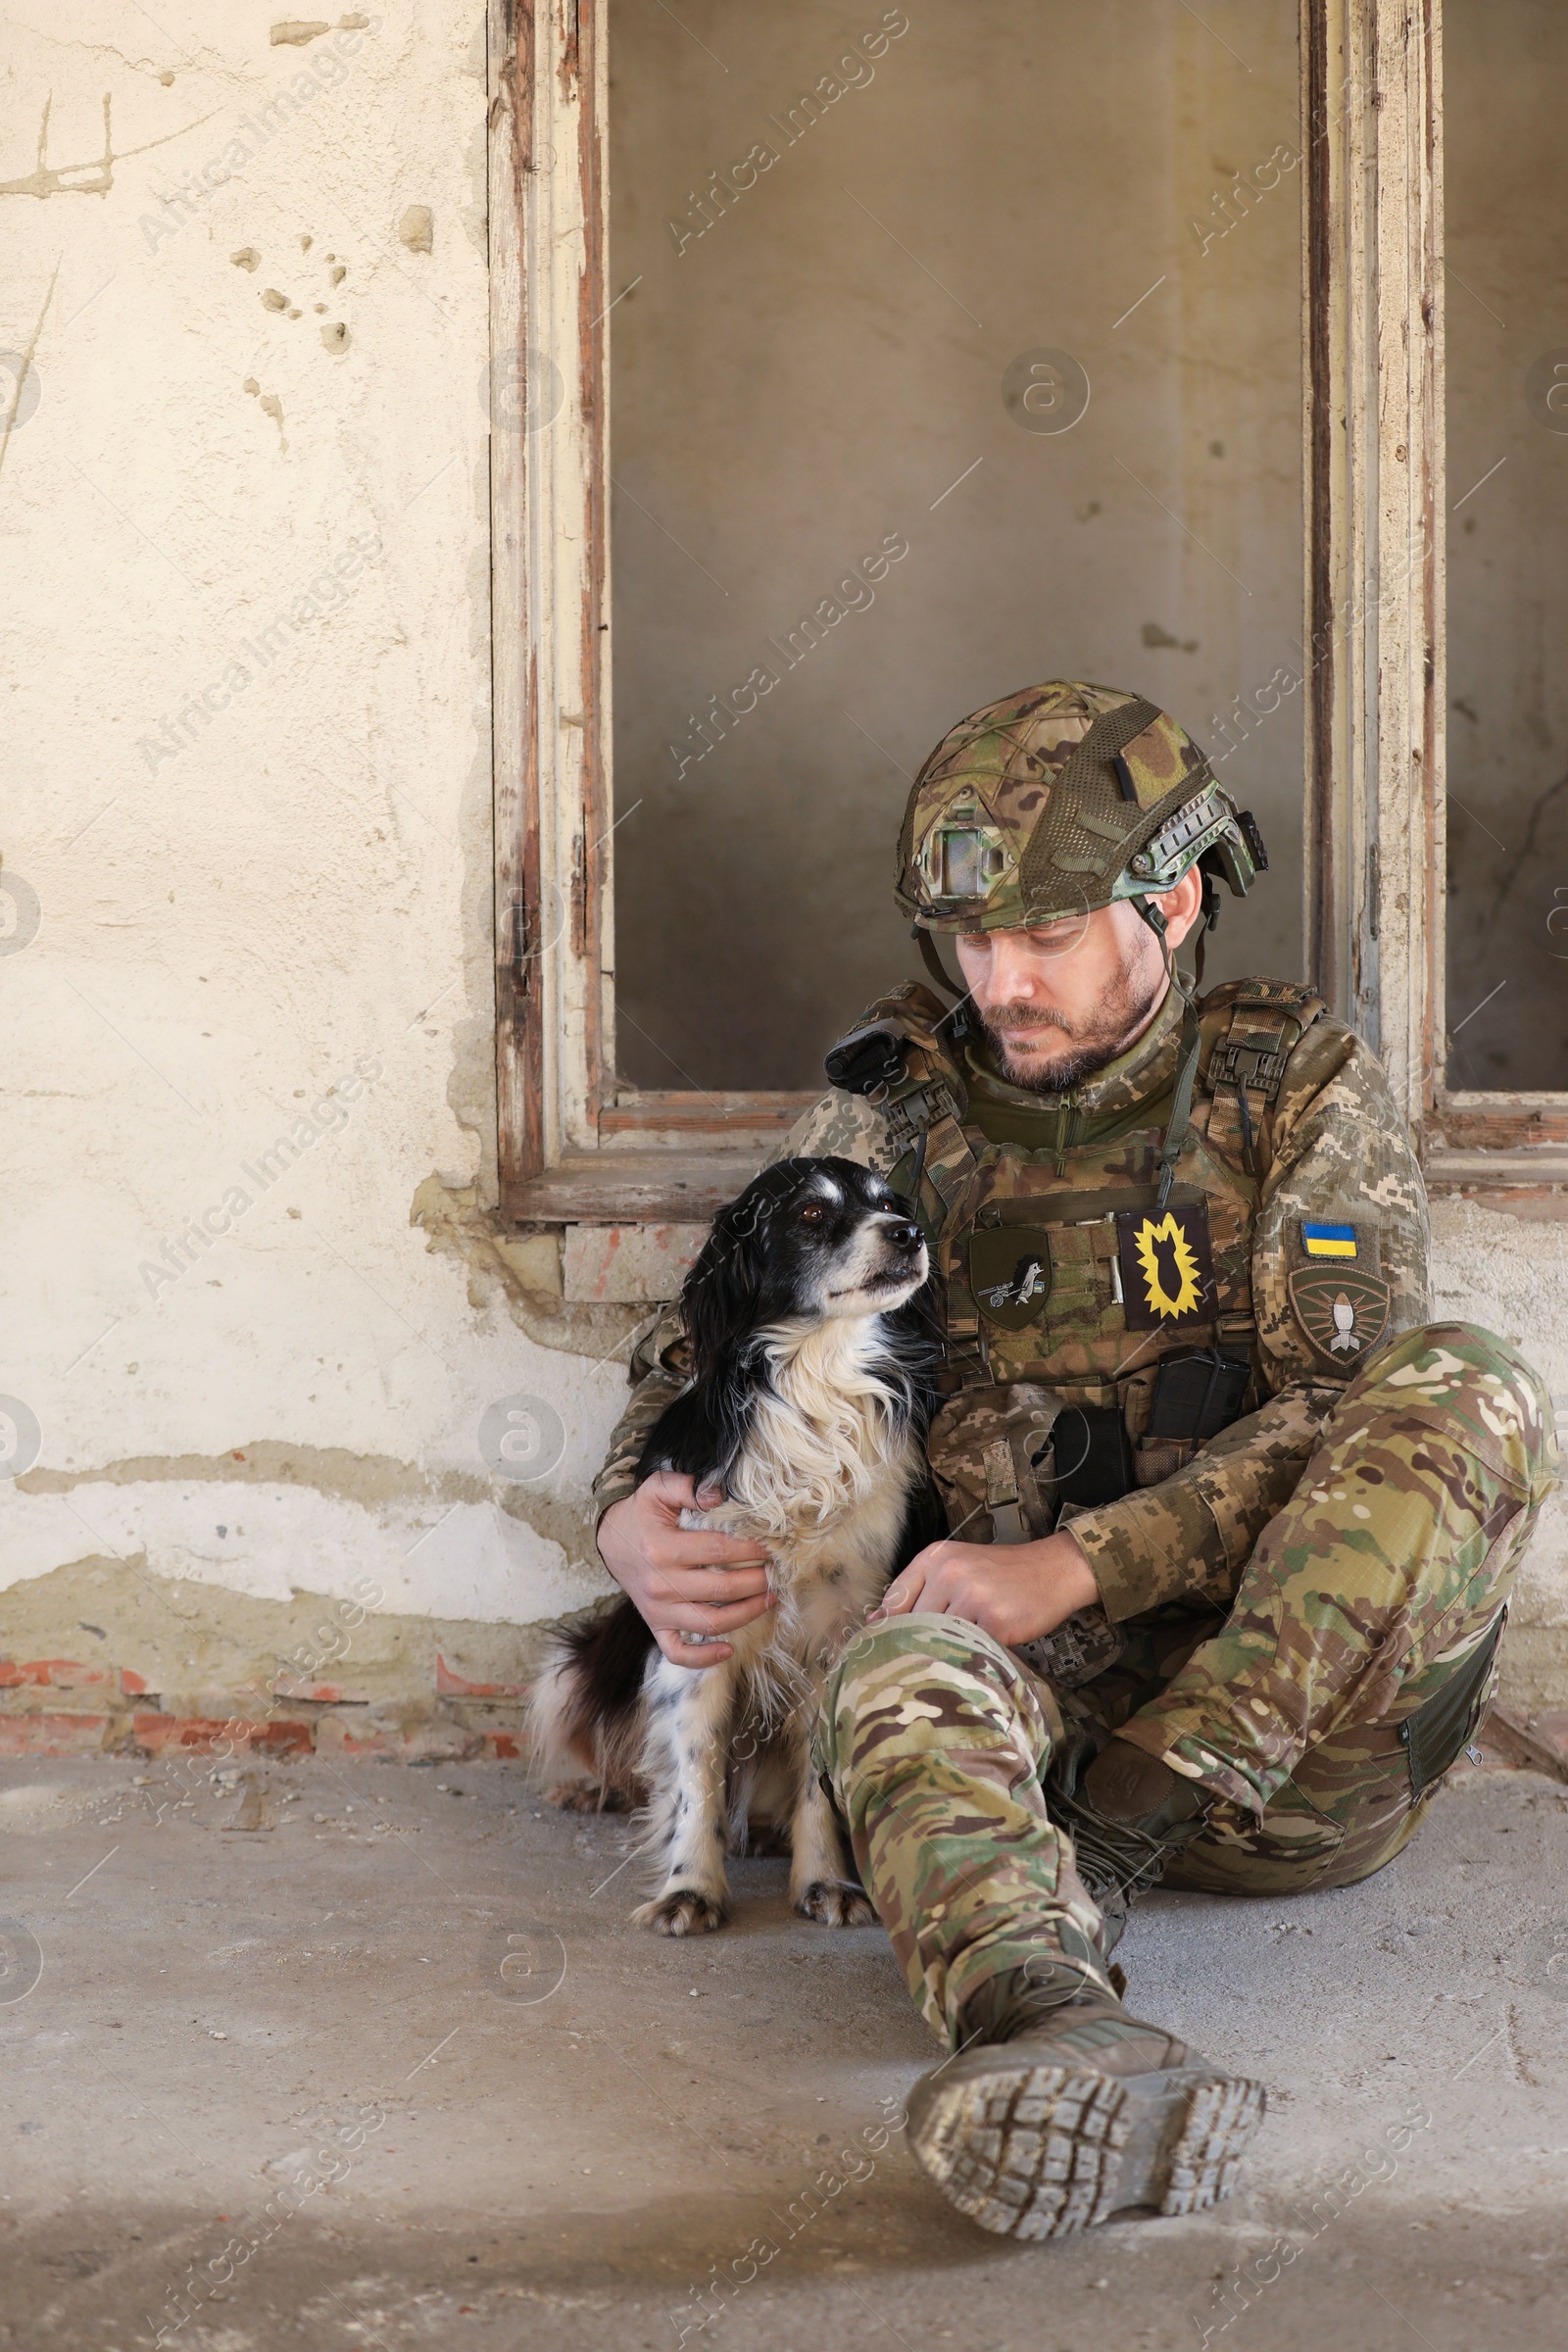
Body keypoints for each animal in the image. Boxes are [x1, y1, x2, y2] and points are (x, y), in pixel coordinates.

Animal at [533, 1152, 940, 1929]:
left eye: (889, 1202)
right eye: (811, 1213)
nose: (910, 1233)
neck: (812, 1385)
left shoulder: (837, 1629)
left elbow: (816, 1780)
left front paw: (825, 1881)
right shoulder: (696, 1630)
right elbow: (696, 1774)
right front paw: (691, 1886)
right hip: (573, 1667)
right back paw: (591, 1791)